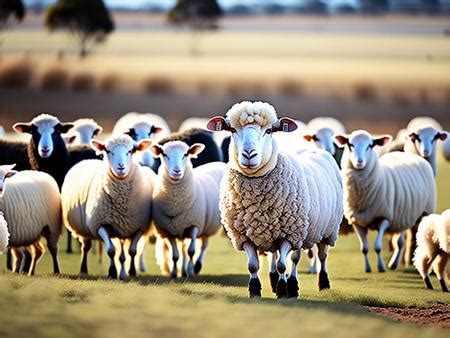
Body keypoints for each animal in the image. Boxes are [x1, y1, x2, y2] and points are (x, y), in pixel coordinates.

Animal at [61, 135, 156, 280]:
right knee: (86, 247)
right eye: (108, 151)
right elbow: (111, 251)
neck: (122, 202)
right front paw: (112, 272)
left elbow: (132, 251)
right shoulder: (100, 224)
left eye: (131, 151)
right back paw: (83, 270)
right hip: (85, 228)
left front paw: (132, 271)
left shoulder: (139, 226)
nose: (121, 167)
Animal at [151, 140, 227, 278]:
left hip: (208, 226)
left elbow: (191, 251)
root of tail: (219, 163)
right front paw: (174, 273)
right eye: (164, 154)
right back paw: (183, 270)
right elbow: (175, 255)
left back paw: (196, 267)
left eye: (186, 154)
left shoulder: (195, 225)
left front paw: (191, 271)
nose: (177, 171)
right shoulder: (169, 230)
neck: (175, 205)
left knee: (203, 246)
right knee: (183, 249)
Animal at [207, 100, 342, 298]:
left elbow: (283, 265)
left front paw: (283, 290)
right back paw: (278, 281)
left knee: (317, 256)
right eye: (232, 129)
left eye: (269, 130)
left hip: (326, 230)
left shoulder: (288, 234)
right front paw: (255, 290)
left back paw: (317, 284)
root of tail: (315, 151)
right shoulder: (244, 236)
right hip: (289, 230)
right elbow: (253, 265)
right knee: (280, 254)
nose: (249, 155)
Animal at [338, 131, 436, 274]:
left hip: (425, 211)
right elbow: (364, 248)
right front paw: (368, 268)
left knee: (404, 241)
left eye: (370, 146)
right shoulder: (356, 221)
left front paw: (381, 267)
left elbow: (377, 246)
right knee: (400, 241)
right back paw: (393, 264)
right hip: (404, 215)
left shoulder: (384, 217)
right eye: (350, 144)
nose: (359, 162)